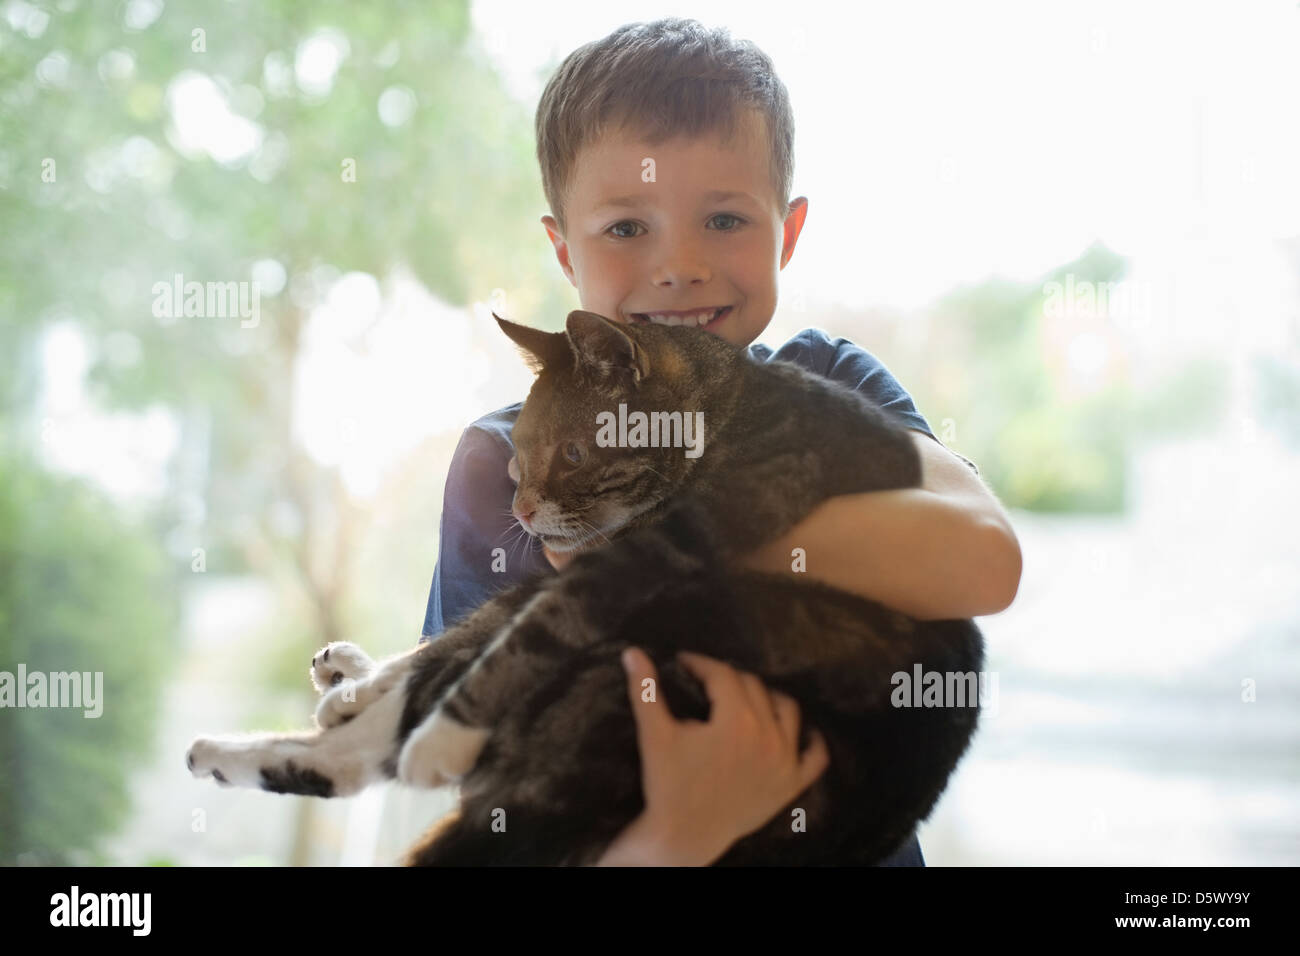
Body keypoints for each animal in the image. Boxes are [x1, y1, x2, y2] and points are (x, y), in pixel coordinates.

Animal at [188, 308, 982, 868]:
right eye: (518, 453)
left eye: (572, 453)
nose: (519, 509)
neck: (728, 406)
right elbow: (469, 640)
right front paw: (366, 684)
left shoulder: (650, 554)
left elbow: (524, 639)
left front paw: (439, 732)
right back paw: (282, 718)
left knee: (398, 728)